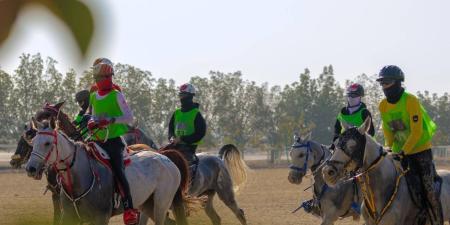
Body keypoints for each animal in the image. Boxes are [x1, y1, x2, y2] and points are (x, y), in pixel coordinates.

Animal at [25, 118, 192, 224]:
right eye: (33, 142)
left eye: (47, 143)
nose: (30, 168)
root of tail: (166, 159)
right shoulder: (69, 218)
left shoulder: (100, 218)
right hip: (147, 205)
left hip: (160, 205)